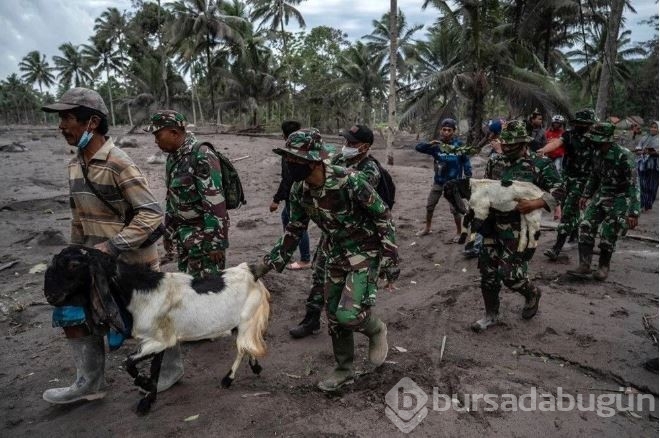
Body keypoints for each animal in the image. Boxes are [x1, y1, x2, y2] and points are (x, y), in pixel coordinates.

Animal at [44, 246, 270, 414]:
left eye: (74, 265)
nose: (49, 294)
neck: (139, 291)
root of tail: (251, 271)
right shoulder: (159, 340)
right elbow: (154, 368)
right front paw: (148, 399)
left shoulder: (158, 341)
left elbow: (129, 362)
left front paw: (143, 386)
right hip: (242, 324)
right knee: (248, 346)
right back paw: (255, 367)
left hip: (247, 319)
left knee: (242, 348)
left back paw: (228, 379)